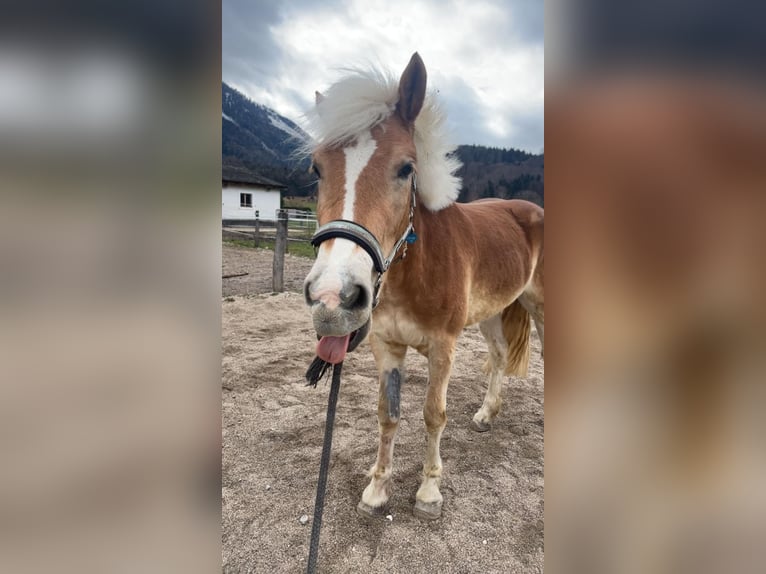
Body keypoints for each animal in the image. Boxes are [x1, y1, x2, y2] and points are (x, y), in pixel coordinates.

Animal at [302, 54, 544, 520]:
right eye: (316, 168)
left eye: (406, 168)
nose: (333, 299)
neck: (414, 271)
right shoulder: (387, 346)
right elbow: (388, 414)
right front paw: (377, 488)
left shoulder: (442, 347)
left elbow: (434, 414)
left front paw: (429, 491)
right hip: (494, 310)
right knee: (500, 355)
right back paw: (487, 414)